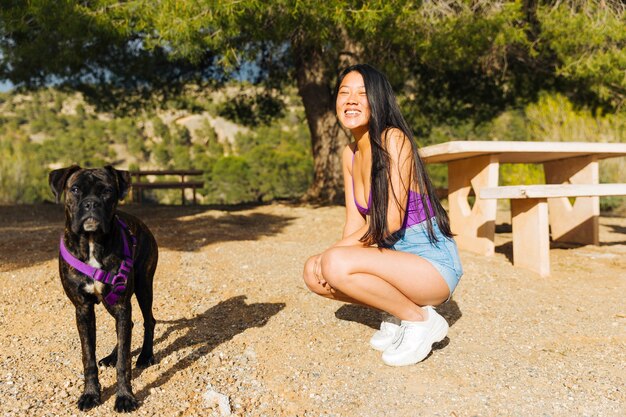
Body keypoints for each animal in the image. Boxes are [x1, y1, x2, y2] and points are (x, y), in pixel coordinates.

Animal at [47, 164, 157, 412]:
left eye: (107, 191)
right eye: (75, 189)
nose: (91, 203)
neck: (91, 241)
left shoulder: (122, 304)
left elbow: (125, 361)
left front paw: (124, 396)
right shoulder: (83, 310)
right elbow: (88, 357)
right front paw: (90, 394)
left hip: (143, 287)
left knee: (148, 321)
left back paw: (145, 356)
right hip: (111, 301)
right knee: (129, 326)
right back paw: (110, 357)